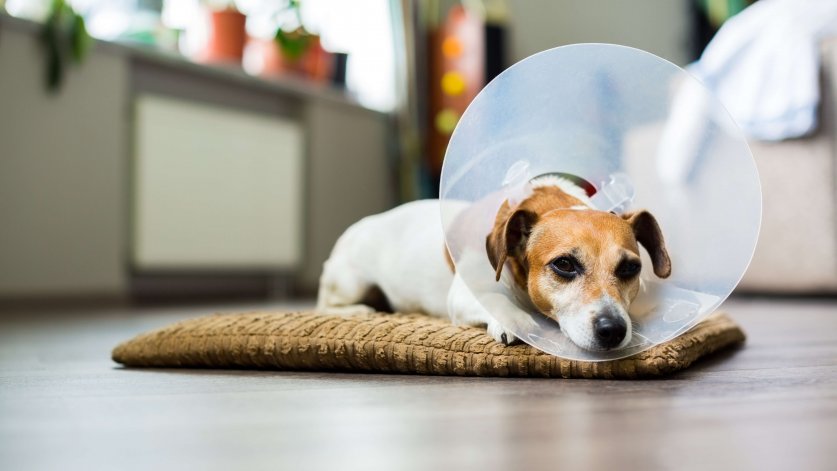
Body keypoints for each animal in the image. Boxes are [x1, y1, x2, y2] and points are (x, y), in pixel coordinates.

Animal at [316, 176, 672, 350]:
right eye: (564, 264)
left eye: (630, 268)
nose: (613, 330)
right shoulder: (465, 294)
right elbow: (495, 301)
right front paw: (515, 321)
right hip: (350, 282)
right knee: (326, 305)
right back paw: (362, 310)